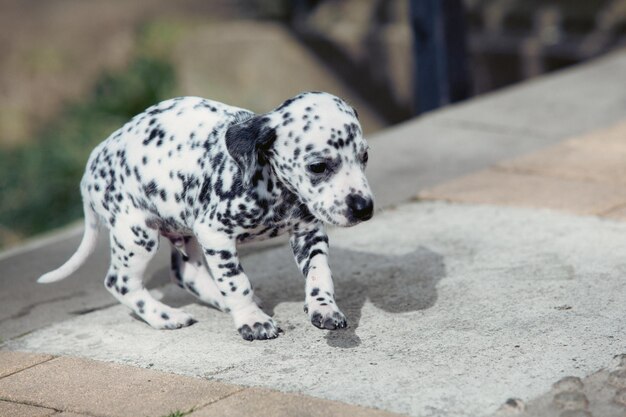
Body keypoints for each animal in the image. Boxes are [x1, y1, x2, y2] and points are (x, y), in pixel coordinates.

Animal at [39, 91, 372, 338]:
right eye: (318, 166)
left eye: (364, 156)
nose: (364, 207)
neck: (269, 184)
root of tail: (92, 165)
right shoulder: (216, 235)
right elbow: (237, 281)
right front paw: (251, 320)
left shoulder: (308, 233)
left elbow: (319, 273)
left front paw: (323, 307)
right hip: (137, 236)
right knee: (119, 282)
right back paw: (164, 316)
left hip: (184, 232)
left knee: (186, 274)